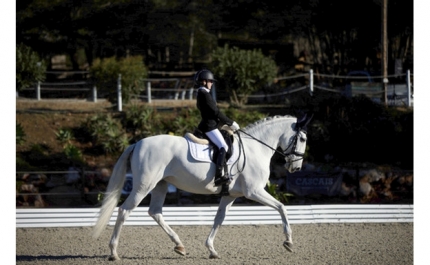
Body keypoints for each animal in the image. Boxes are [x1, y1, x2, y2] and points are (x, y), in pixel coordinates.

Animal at [92, 113, 312, 258]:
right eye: (302, 138)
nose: (296, 167)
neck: (255, 148)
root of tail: (137, 143)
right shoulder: (254, 191)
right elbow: (282, 207)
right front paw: (288, 242)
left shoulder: (230, 195)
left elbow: (218, 219)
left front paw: (211, 249)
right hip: (143, 186)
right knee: (124, 211)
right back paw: (113, 252)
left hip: (160, 185)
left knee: (155, 212)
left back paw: (179, 246)